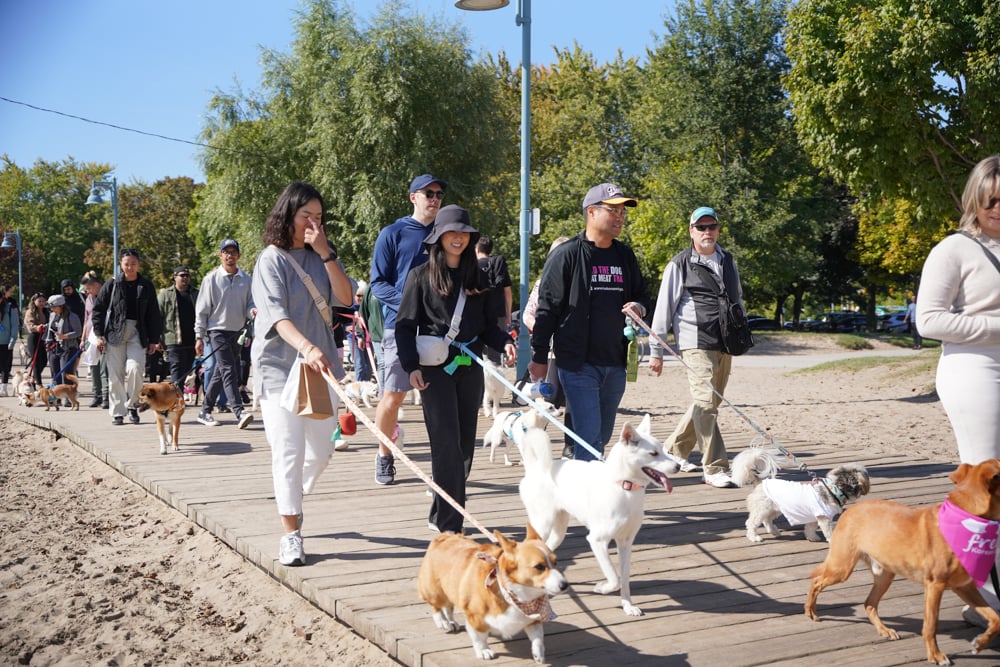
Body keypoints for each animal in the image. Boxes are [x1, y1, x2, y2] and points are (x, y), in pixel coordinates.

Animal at [416, 528, 572, 664]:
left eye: (556, 562)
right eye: (539, 567)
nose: (565, 585)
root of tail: (445, 536)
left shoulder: (533, 619)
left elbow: (538, 638)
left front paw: (538, 654)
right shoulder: (475, 617)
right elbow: (479, 637)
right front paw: (483, 651)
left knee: (448, 606)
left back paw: (452, 621)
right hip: (435, 591)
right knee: (436, 606)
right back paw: (442, 622)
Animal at [732, 448, 872, 544]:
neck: (833, 490)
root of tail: (761, 482)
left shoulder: (815, 516)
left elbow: (810, 528)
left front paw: (812, 538)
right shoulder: (824, 518)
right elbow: (828, 531)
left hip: (774, 509)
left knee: (767, 520)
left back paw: (774, 531)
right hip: (762, 509)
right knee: (751, 523)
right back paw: (754, 537)